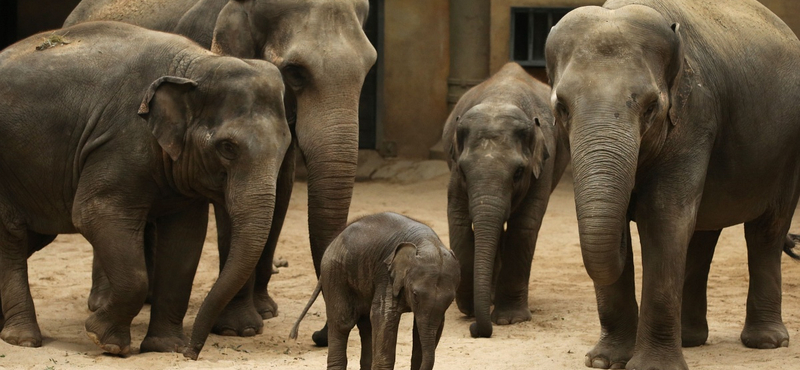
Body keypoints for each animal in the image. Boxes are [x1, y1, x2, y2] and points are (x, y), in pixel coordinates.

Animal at [0, 20, 290, 358]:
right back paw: (22, 339)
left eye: (285, 147)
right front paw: (106, 340)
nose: (193, 352)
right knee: (11, 236)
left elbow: (185, 239)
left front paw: (165, 347)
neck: (197, 65)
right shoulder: (121, 142)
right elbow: (93, 214)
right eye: (227, 147)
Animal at [64, 0, 376, 342]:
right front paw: (238, 329)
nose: (317, 336)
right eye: (295, 72)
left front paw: (265, 312)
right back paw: (101, 302)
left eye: (368, 68)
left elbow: (281, 188)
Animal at [290, 212, 460, 370]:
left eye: (450, 300)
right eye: (415, 295)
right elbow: (385, 317)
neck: (427, 242)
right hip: (335, 273)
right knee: (342, 323)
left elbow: (427, 326)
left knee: (366, 326)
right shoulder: (387, 275)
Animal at [444, 62, 568, 336]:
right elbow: (458, 221)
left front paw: (509, 320)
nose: (475, 329)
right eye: (464, 171)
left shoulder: (544, 164)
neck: (499, 101)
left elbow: (524, 226)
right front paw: (469, 308)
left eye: (518, 172)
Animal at [548, 0, 800, 370]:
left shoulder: (694, 118)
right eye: (561, 107)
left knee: (766, 231)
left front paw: (651, 367)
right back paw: (691, 339)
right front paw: (604, 361)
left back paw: (767, 342)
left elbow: (663, 217)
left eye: (651, 107)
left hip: (788, 155)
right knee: (703, 232)